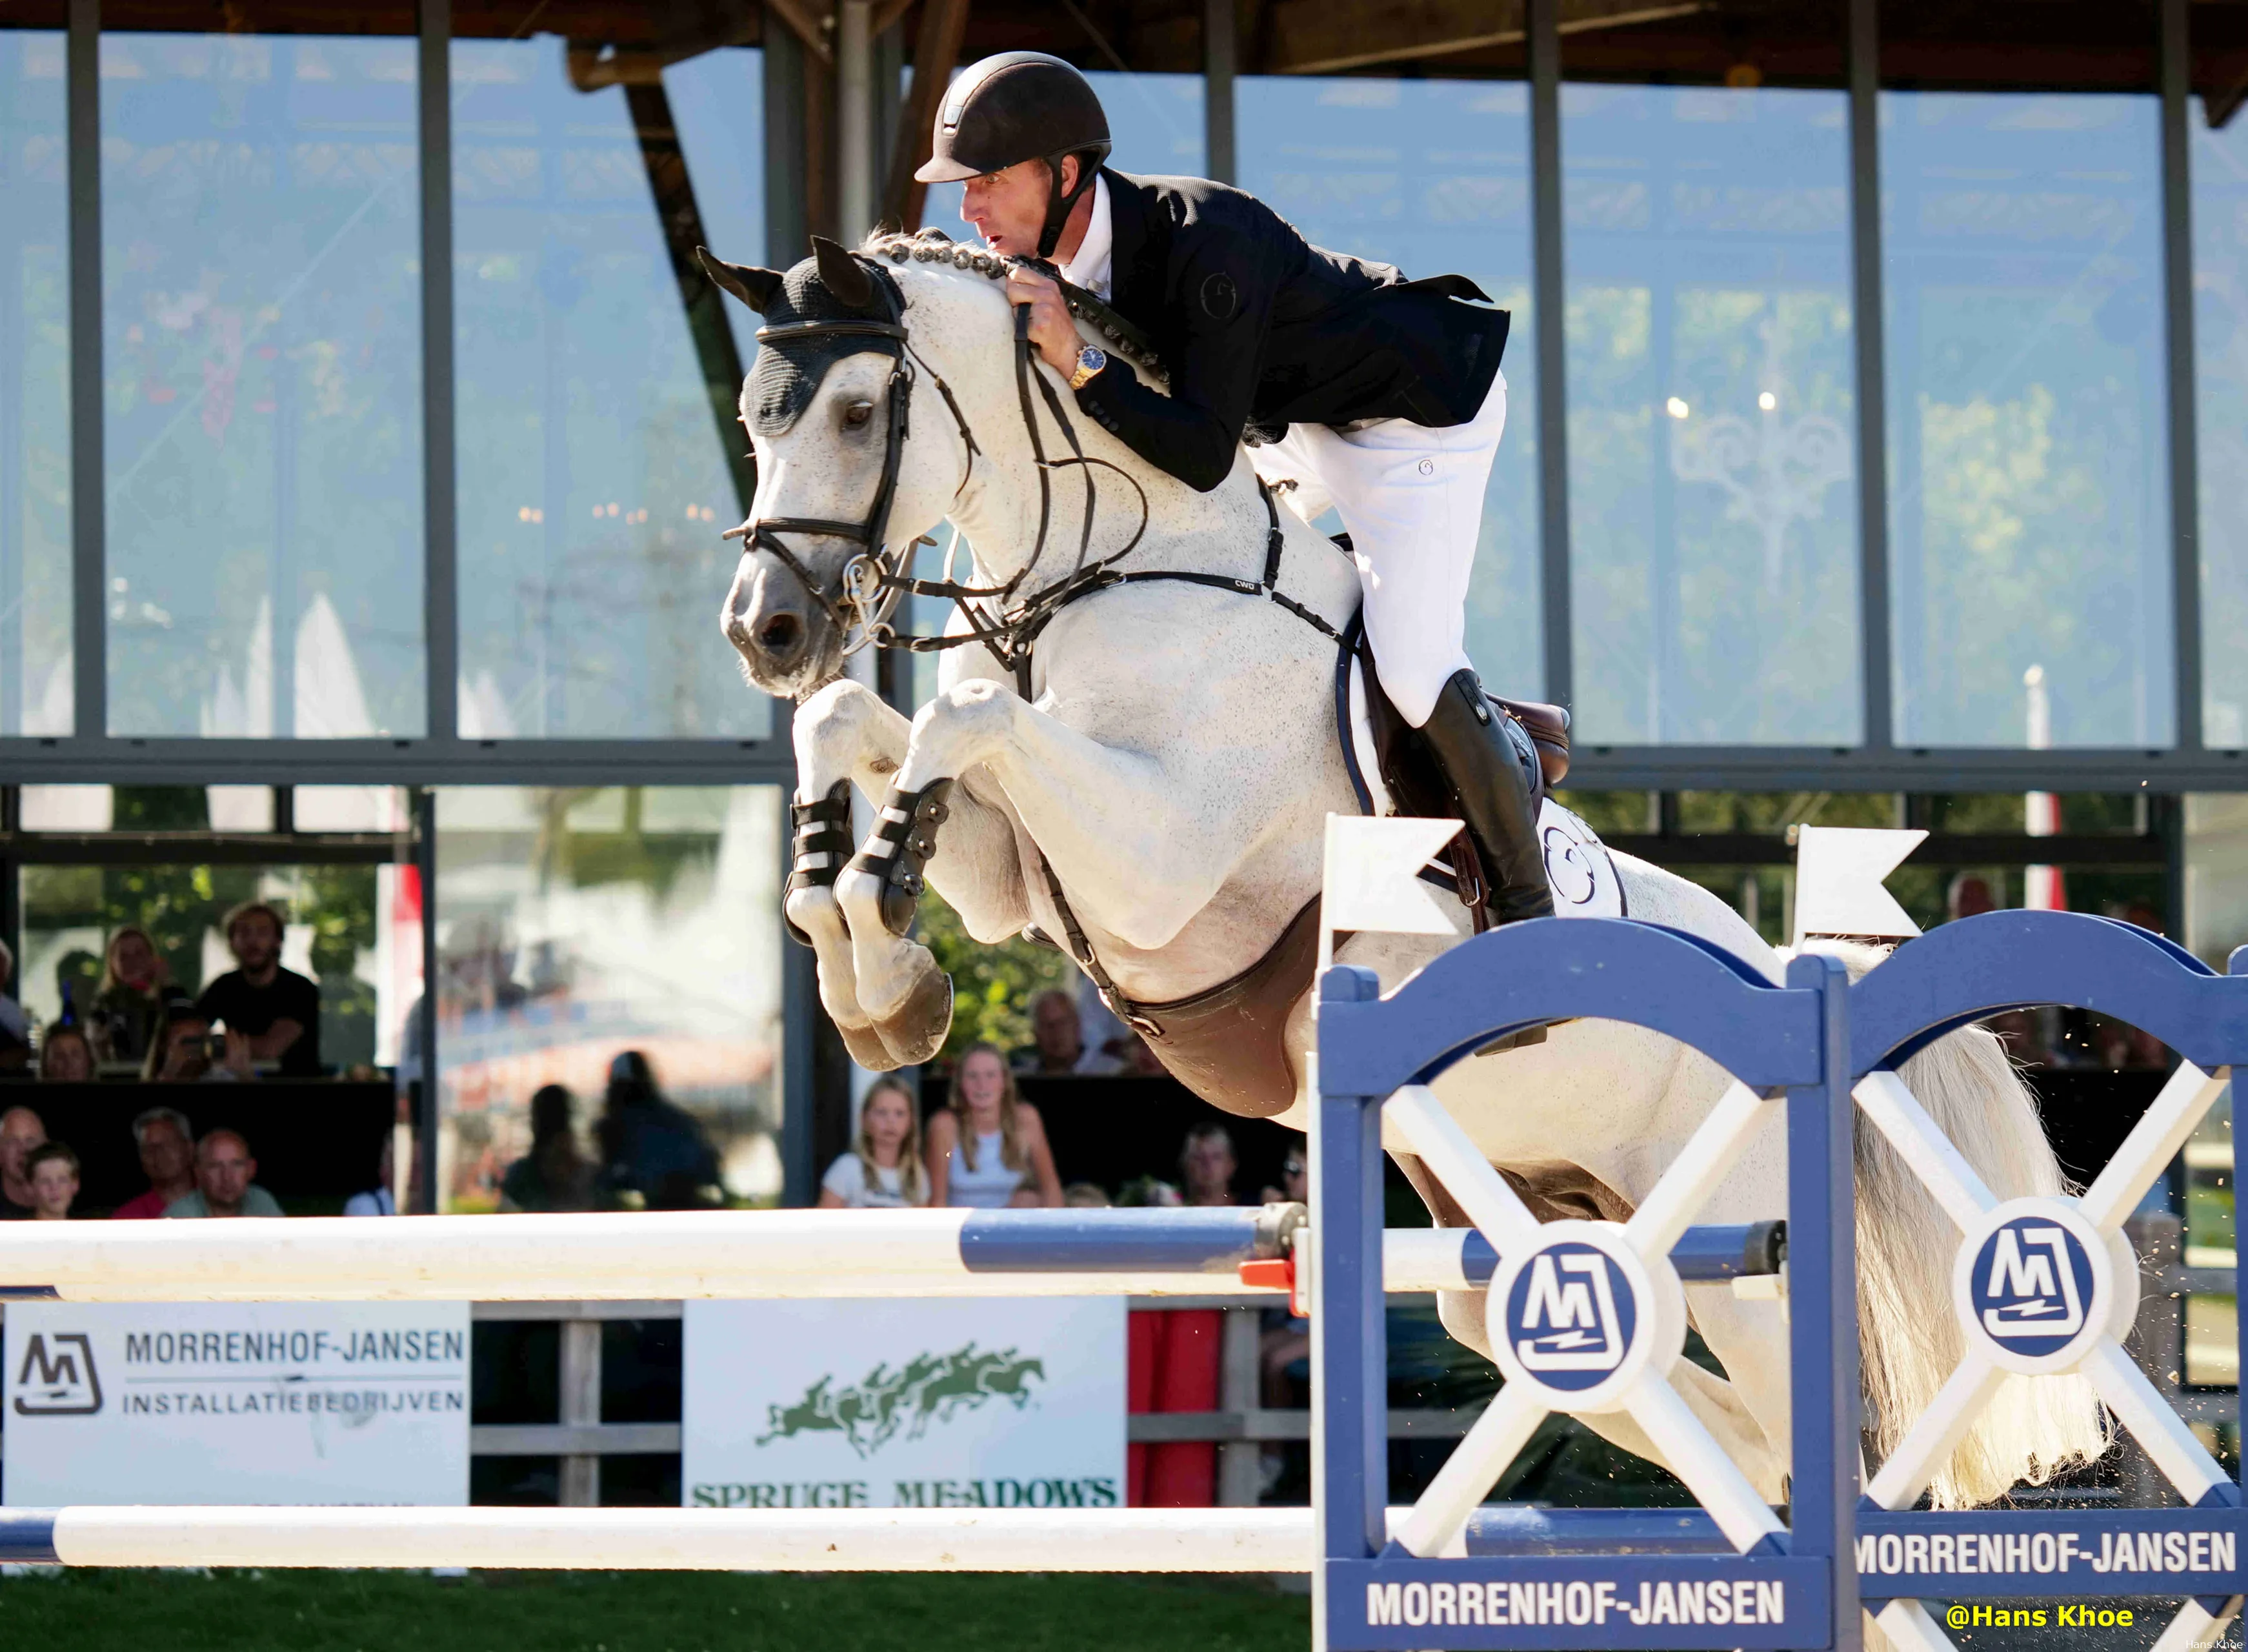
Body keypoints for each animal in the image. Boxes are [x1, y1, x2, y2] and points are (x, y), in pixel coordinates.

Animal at [714, 236, 2104, 1528]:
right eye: (753, 418)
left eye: (856, 411)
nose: (760, 629)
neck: (1110, 573)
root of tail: (1785, 973)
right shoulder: (1020, 868)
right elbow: (855, 722)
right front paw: (873, 970)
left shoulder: (1158, 858)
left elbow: (959, 714)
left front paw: (876, 931)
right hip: (1534, 1203)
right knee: (1598, 1347)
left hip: (1732, 1238)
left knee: (1797, 1420)